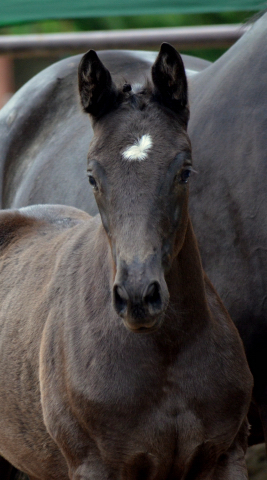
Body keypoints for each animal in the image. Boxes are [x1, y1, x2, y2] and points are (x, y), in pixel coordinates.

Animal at [0, 43, 253, 478]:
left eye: (185, 171)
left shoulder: (226, 456)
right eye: (92, 176)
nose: (138, 296)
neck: (166, 351)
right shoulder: (95, 465)